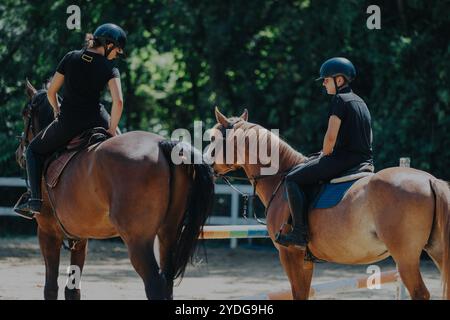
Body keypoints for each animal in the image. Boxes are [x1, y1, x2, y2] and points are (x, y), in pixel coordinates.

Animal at [14, 80, 215, 300]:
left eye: (25, 113)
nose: (19, 153)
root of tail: (161, 144)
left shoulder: (47, 233)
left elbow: (50, 288)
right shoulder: (79, 237)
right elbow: (72, 289)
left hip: (138, 241)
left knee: (154, 283)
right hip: (168, 233)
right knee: (167, 281)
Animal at [207, 109, 450, 302]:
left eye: (214, 139)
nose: (208, 167)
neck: (280, 178)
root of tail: (430, 180)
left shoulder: (290, 255)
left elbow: (299, 294)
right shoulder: (305, 260)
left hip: (406, 257)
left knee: (420, 293)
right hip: (436, 251)